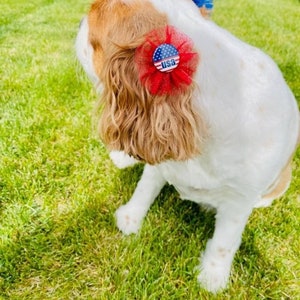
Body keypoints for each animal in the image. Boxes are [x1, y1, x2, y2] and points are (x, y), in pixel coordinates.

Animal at [75, 0, 300, 292]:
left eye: (93, 41)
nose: (79, 22)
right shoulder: (161, 156)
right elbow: (145, 188)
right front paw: (131, 218)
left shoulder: (240, 199)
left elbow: (225, 240)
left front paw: (213, 276)